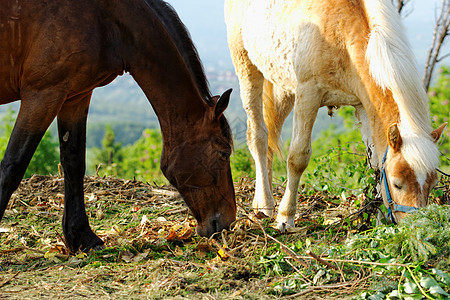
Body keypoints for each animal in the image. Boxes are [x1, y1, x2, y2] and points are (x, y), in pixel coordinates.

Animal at [0, 0, 237, 253]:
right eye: (223, 153)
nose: (228, 223)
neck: (108, 19)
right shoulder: (43, 94)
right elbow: (13, 166)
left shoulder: (75, 96)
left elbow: (74, 163)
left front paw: (83, 237)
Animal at [225, 0, 446, 230]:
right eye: (397, 183)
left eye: (433, 184)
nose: (417, 226)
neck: (343, 33)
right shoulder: (308, 94)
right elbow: (297, 158)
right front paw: (285, 217)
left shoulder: (363, 106)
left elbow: (376, 165)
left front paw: (378, 218)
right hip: (247, 69)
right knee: (258, 136)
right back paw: (266, 205)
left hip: (282, 87)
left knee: (270, 135)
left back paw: (261, 202)